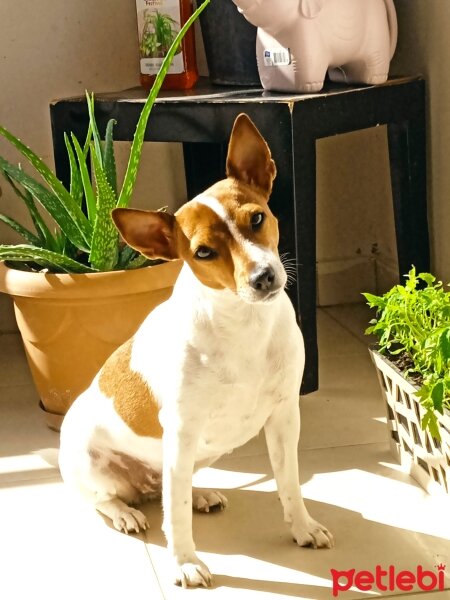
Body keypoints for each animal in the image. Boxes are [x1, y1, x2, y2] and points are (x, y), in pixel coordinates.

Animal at [59, 112, 334, 584]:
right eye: (203, 252)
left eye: (257, 218)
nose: (263, 277)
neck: (244, 327)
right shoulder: (183, 432)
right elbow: (177, 516)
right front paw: (185, 561)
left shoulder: (284, 417)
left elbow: (290, 484)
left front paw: (302, 527)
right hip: (99, 466)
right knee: (111, 500)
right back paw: (126, 513)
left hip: (195, 457)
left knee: (175, 488)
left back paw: (202, 493)